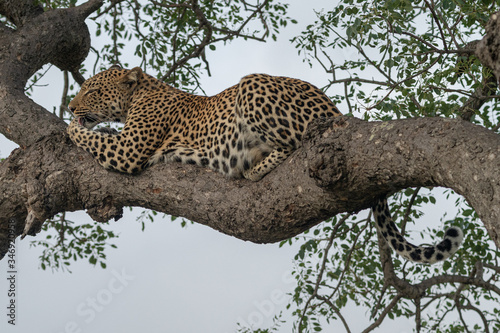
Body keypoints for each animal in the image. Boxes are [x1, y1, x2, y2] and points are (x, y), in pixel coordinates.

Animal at [68, 64, 462, 262]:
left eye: (92, 91)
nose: (71, 106)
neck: (141, 92)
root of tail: (334, 109)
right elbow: (99, 133)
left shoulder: (129, 149)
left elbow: (91, 137)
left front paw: (70, 126)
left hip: (252, 85)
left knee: (294, 144)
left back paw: (253, 166)